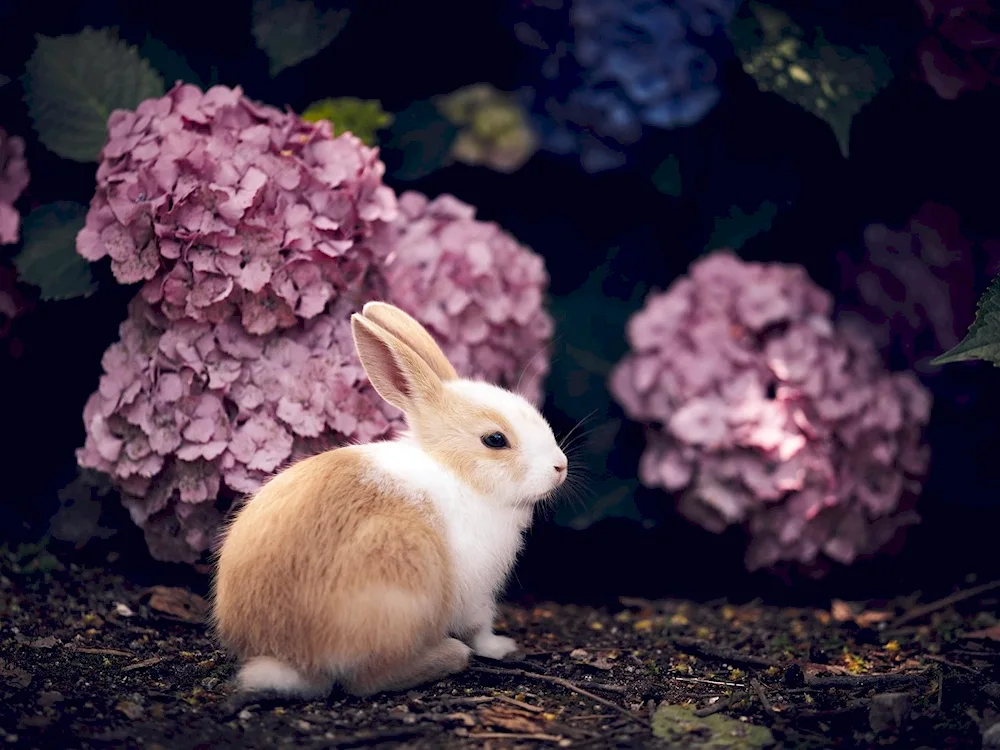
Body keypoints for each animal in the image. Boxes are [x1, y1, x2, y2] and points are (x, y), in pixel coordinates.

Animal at [211, 300, 568, 700]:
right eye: (495, 440)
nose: (560, 466)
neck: (458, 474)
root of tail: (289, 658)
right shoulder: (476, 592)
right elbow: (479, 629)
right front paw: (502, 647)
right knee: (366, 679)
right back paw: (448, 656)